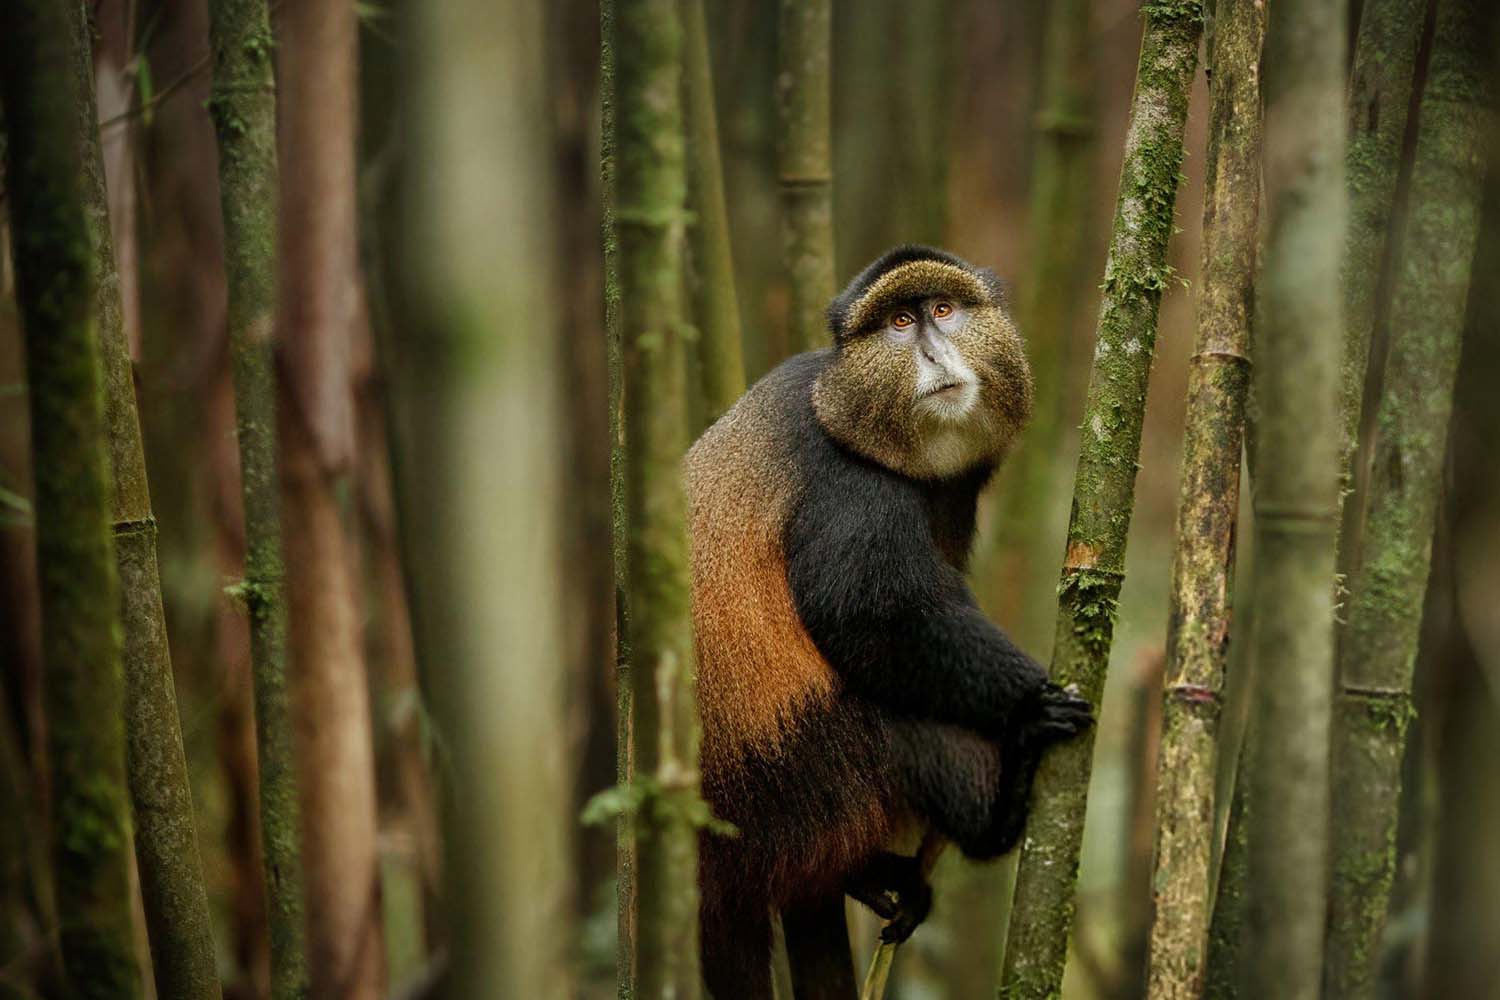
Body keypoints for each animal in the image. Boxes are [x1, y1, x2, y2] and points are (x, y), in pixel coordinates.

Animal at [684, 244, 1093, 999]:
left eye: (943, 310)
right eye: (900, 322)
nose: (933, 353)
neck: (839, 401)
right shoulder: (850, 487)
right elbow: (873, 617)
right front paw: (1030, 703)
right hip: (797, 772)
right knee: (899, 717)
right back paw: (999, 809)